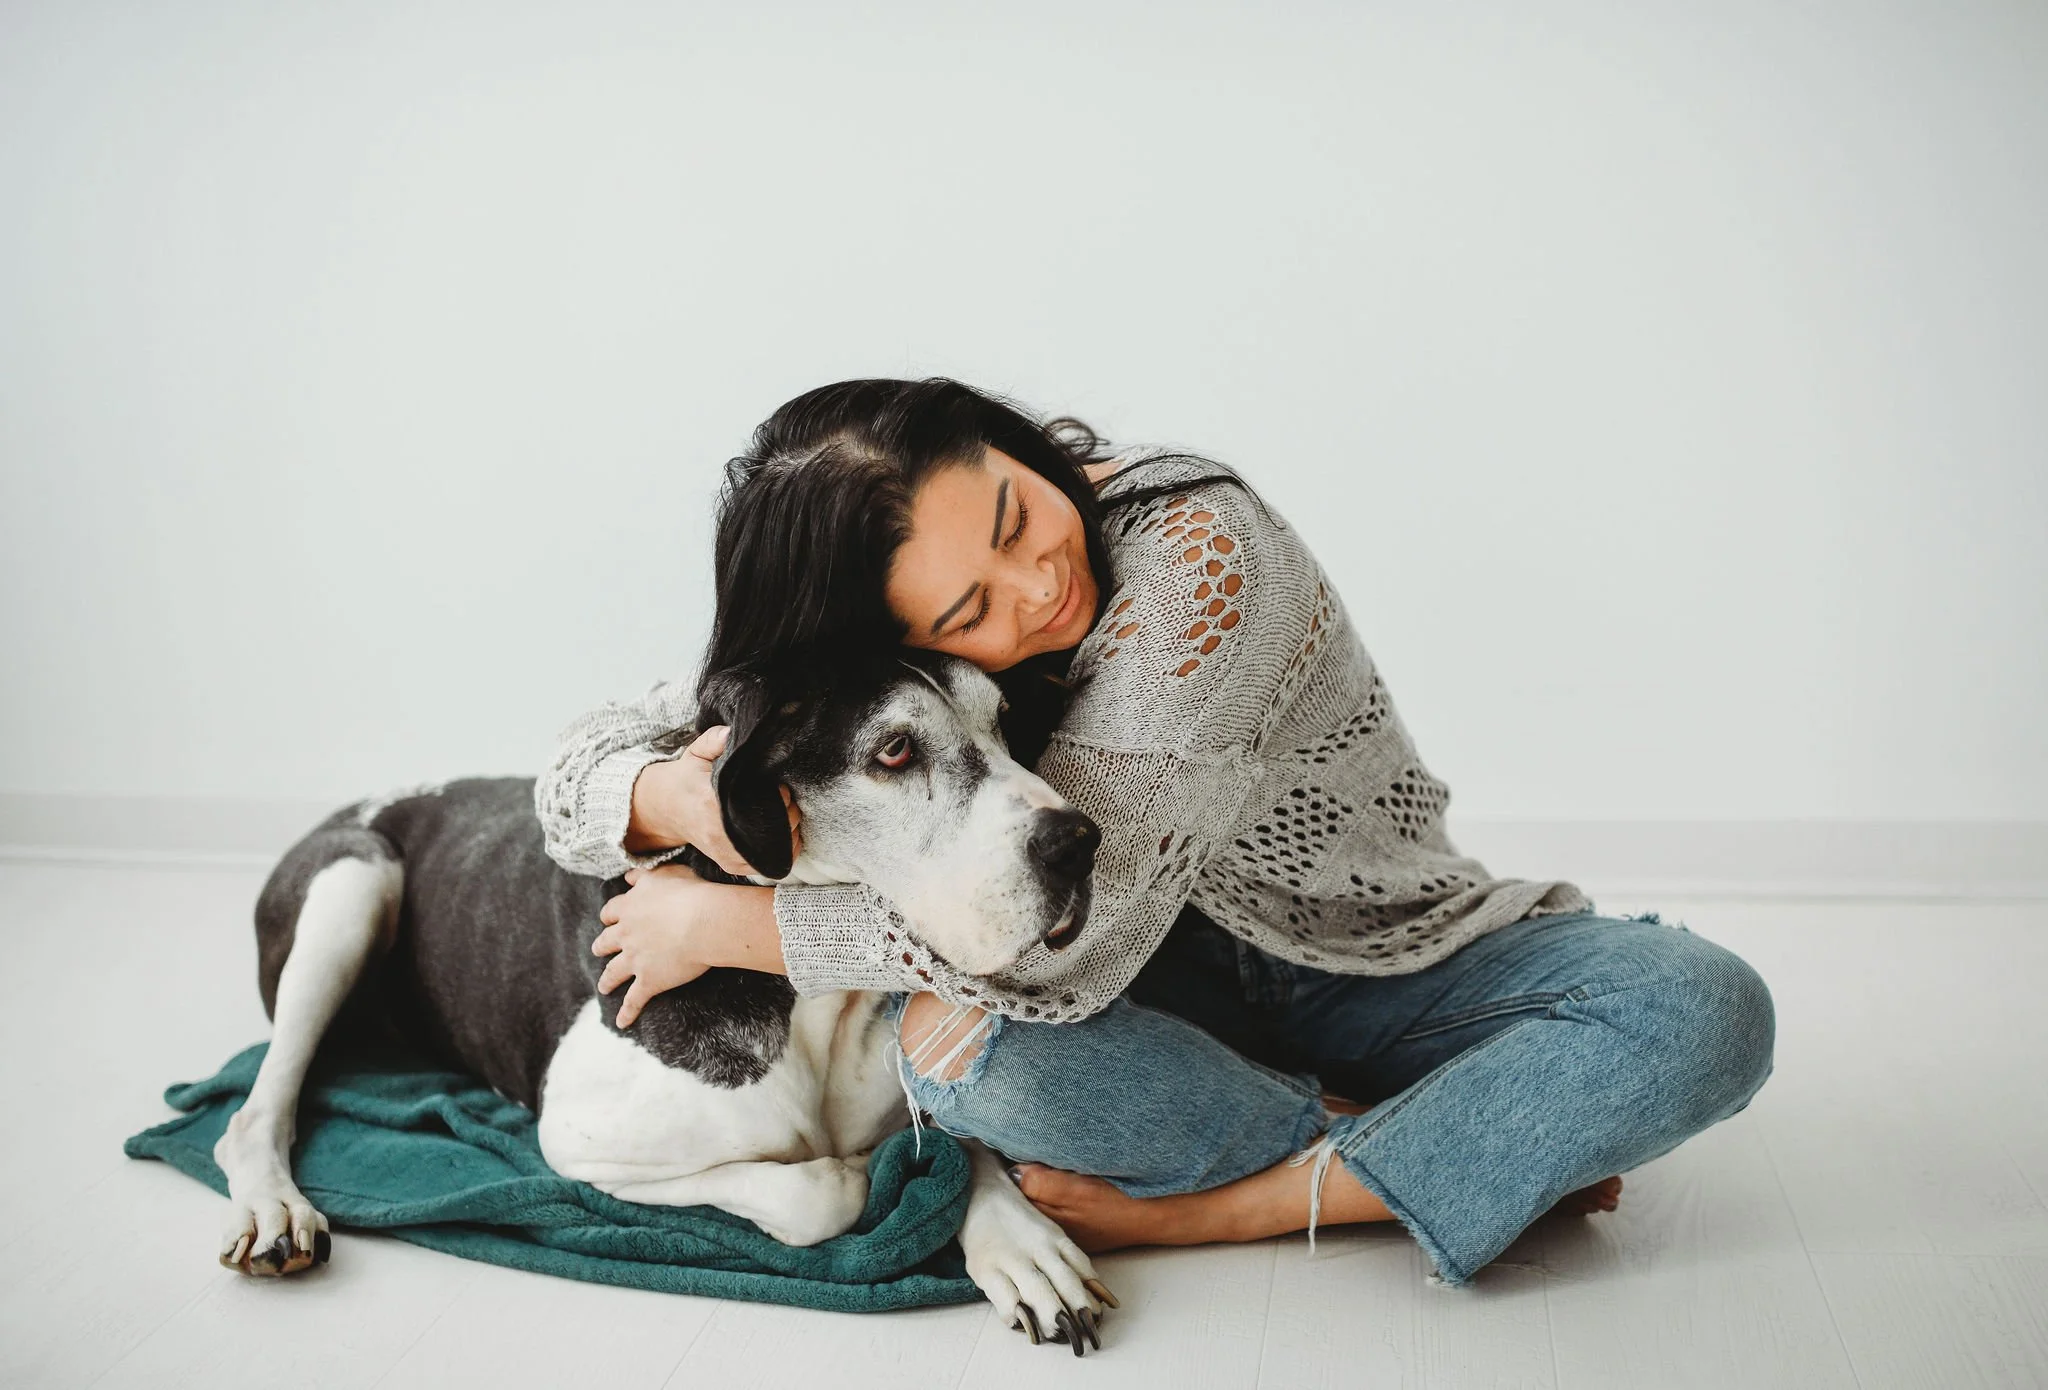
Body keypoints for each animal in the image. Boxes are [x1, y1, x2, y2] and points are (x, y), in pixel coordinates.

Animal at [212, 648, 1115, 1351]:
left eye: (1003, 724)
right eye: (895, 750)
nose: (1079, 843)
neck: (817, 1000)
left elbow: (961, 1146)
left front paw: (1021, 1241)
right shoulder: (580, 1143)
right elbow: (821, 1190)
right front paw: (869, 1167)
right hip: (354, 878)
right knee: (256, 1109)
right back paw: (275, 1209)